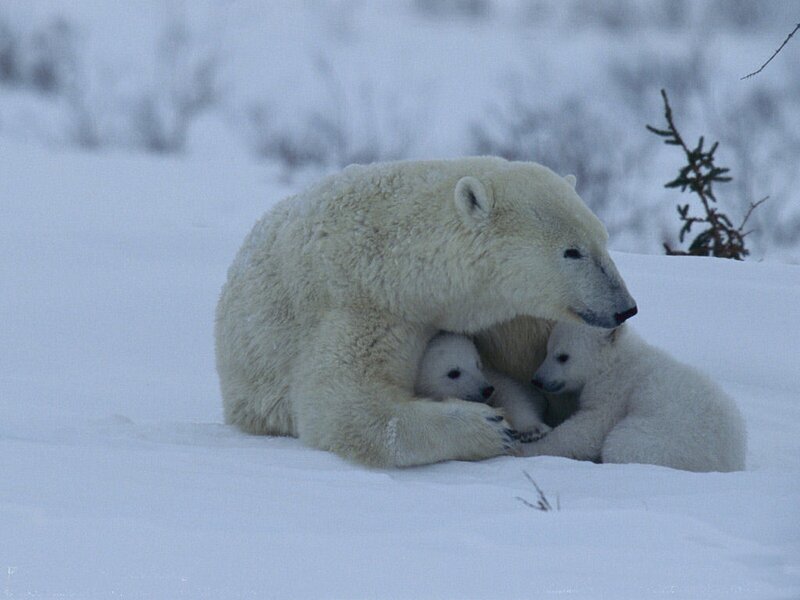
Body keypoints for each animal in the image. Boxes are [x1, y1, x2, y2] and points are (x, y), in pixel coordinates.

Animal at [414, 332, 551, 438]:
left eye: (477, 363)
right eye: (453, 373)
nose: (487, 390)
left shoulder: (491, 376)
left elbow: (511, 394)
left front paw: (532, 430)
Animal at [522, 321, 747, 472]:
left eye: (563, 357)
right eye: (547, 350)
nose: (537, 380)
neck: (615, 360)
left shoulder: (615, 389)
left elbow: (590, 428)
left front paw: (529, 448)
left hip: (667, 441)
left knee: (620, 444)